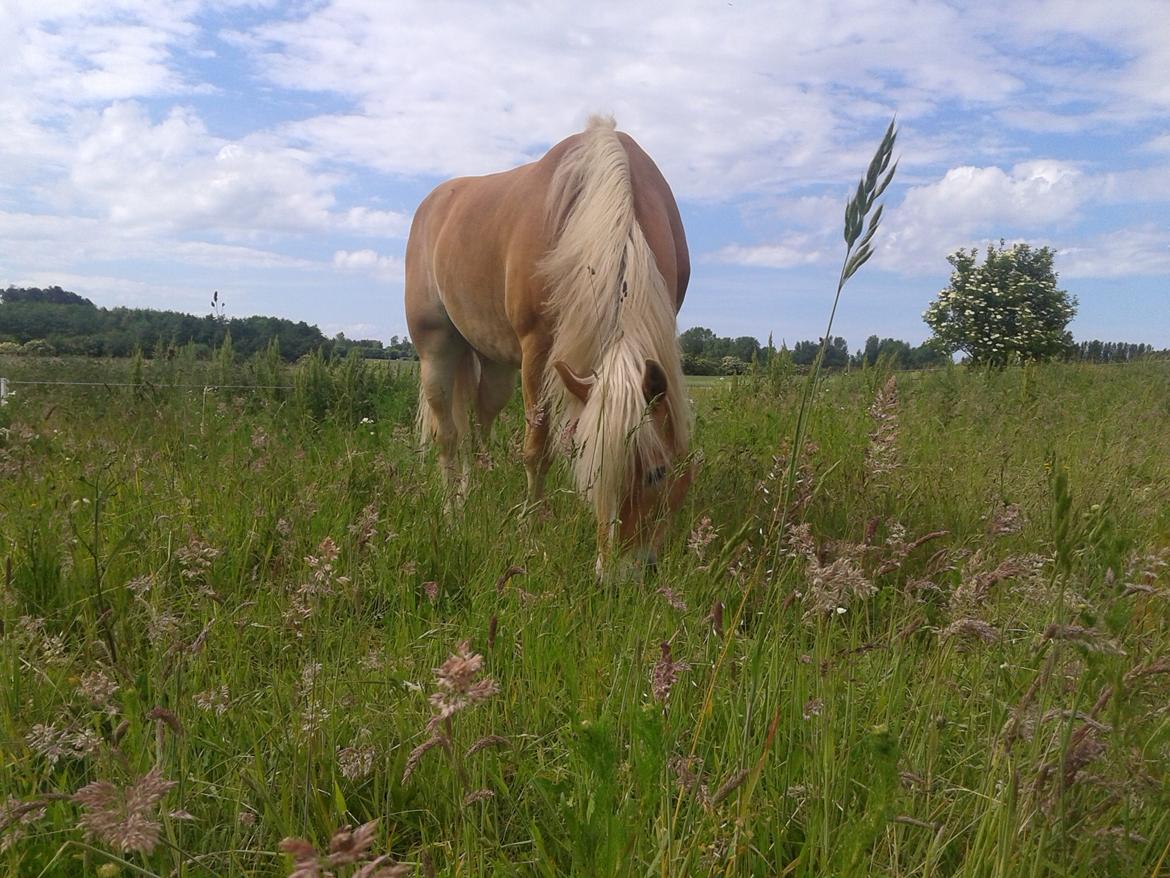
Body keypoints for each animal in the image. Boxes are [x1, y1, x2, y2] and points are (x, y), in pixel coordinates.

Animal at [404, 113, 687, 573]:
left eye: (659, 472)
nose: (618, 576)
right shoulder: (537, 351)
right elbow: (537, 448)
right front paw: (531, 529)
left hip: (495, 366)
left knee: (479, 426)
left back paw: (476, 494)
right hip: (437, 350)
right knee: (448, 435)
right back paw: (452, 512)